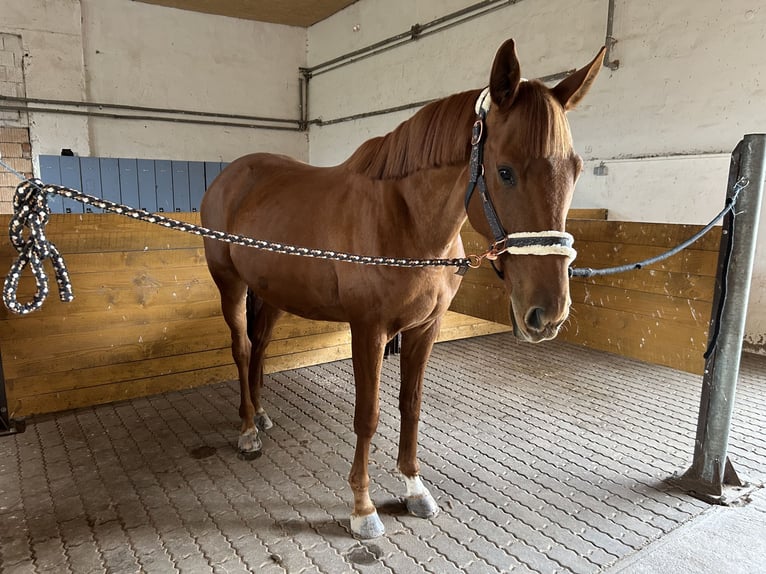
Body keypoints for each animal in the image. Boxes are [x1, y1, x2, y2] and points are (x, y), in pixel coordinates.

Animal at [202, 40, 608, 540]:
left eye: (576, 170)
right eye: (505, 171)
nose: (547, 314)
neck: (406, 222)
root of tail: (232, 177)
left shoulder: (424, 329)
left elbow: (410, 405)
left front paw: (414, 487)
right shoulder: (368, 330)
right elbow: (369, 413)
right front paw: (362, 508)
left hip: (273, 292)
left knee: (260, 346)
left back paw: (259, 413)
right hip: (231, 284)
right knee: (242, 349)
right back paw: (247, 431)